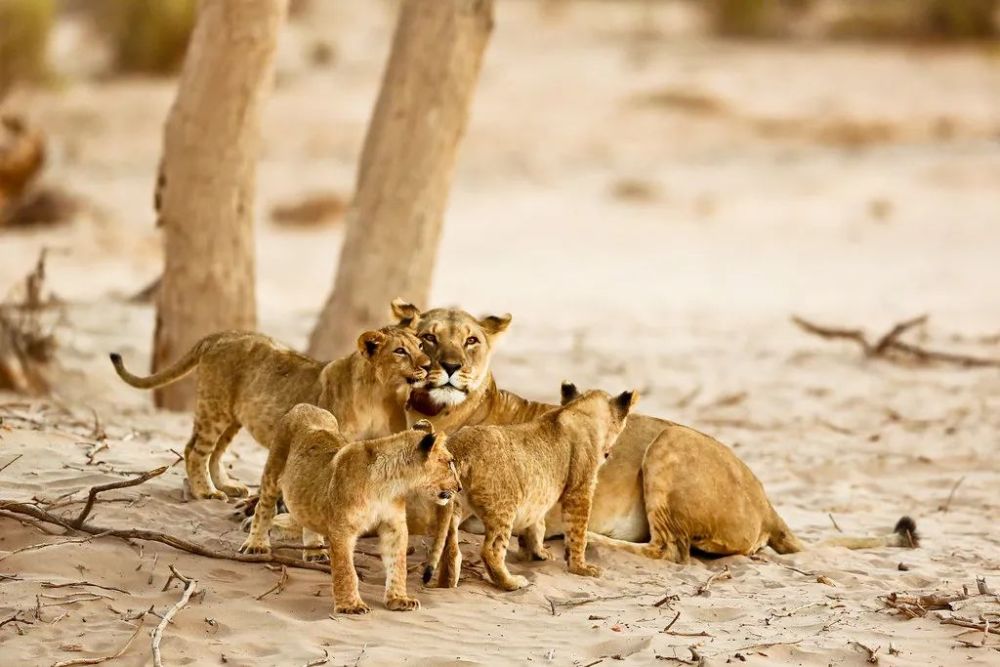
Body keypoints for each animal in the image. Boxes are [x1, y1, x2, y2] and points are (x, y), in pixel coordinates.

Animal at [392, 302, 920, 564]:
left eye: (471, 341)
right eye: (427, 338)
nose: (450, 367)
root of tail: (769, 503)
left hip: (669, 445)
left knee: (674, 550)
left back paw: (597, 543)